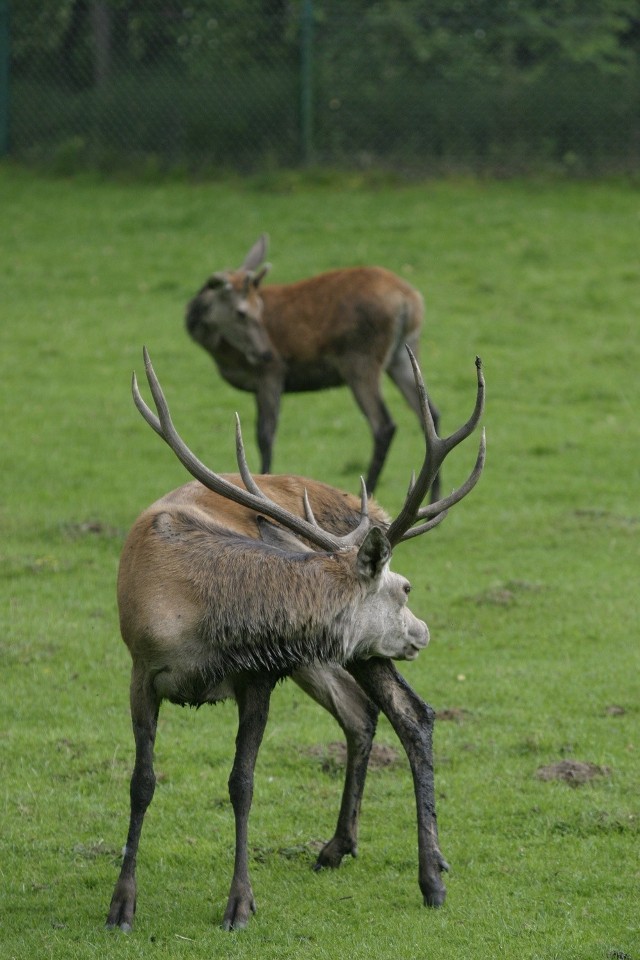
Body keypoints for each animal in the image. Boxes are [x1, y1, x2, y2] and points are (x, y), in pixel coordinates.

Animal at [106, 344, 484, 928]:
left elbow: (242, 783)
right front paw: (122, 904)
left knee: (412, 714)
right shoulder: (141, 669)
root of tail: (368, 508)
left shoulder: (257, 677)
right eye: (404, 587)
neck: (193, 612)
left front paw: (239, 902)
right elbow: (141, 782)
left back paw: (431, 876)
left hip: (348, 653)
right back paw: (342, 847)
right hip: (320, 657)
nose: (422, 632)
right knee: (362, 713)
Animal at [184, 237, 440, 498]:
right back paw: (433, 498)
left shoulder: (271, 374)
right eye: (241, 313)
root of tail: (410, 299)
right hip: (402, 354)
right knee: (430, 413)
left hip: (361, 359)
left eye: (258, 309)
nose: (266, 352)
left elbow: (265, 434)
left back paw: (366, 492)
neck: (224, 355)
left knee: (384, 425)